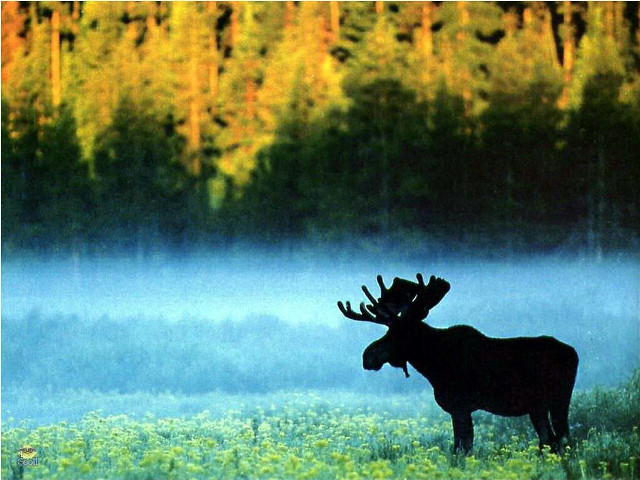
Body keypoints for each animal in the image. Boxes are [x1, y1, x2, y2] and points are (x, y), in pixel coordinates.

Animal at [338, 274, 579, 454]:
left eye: (399, 332)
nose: (367, 356)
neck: (432, 366)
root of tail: (574, 354)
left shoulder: (460, 405)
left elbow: (462, 448)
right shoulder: (458, 409)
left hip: (559, 399)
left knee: (564, 438)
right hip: (537, 407)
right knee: (549, 440)